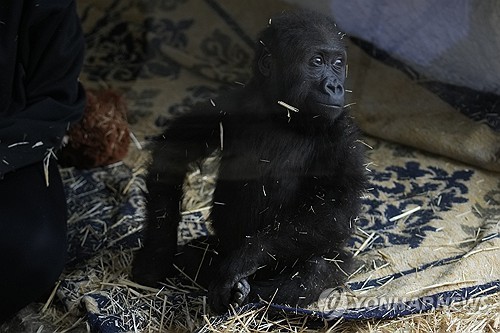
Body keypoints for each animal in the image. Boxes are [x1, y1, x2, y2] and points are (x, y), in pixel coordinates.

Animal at [132, 9, 368, 312]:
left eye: (338, 64)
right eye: (317, 61)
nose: (335, 85)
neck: (283, 114)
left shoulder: (343, 135)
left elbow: (336, 208)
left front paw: (245, 259)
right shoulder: (230, 103)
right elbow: (174, 149)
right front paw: (156, 254)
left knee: (316, 270)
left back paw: (249, 292)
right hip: (220, 246)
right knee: (195, 255)